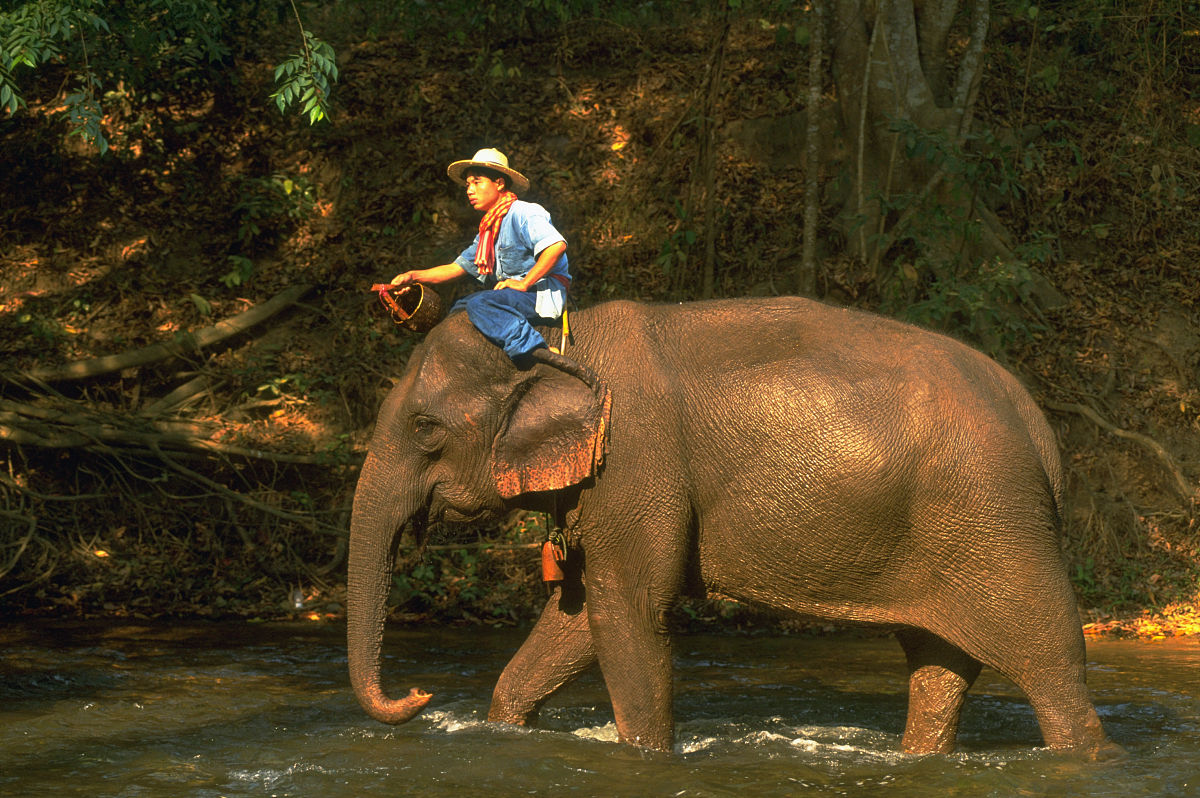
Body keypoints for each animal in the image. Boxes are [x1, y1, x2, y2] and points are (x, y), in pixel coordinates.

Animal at [347, 296, 1114, 757]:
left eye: (425, 428)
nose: (418, 696)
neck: (562, 335)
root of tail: (1043, 430)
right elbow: (576, 615)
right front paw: (506, 728)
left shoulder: (636, 463)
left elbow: (627, 612)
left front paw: (646, 754)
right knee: (939, 663)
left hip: (997, 519)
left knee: (1051, 663)